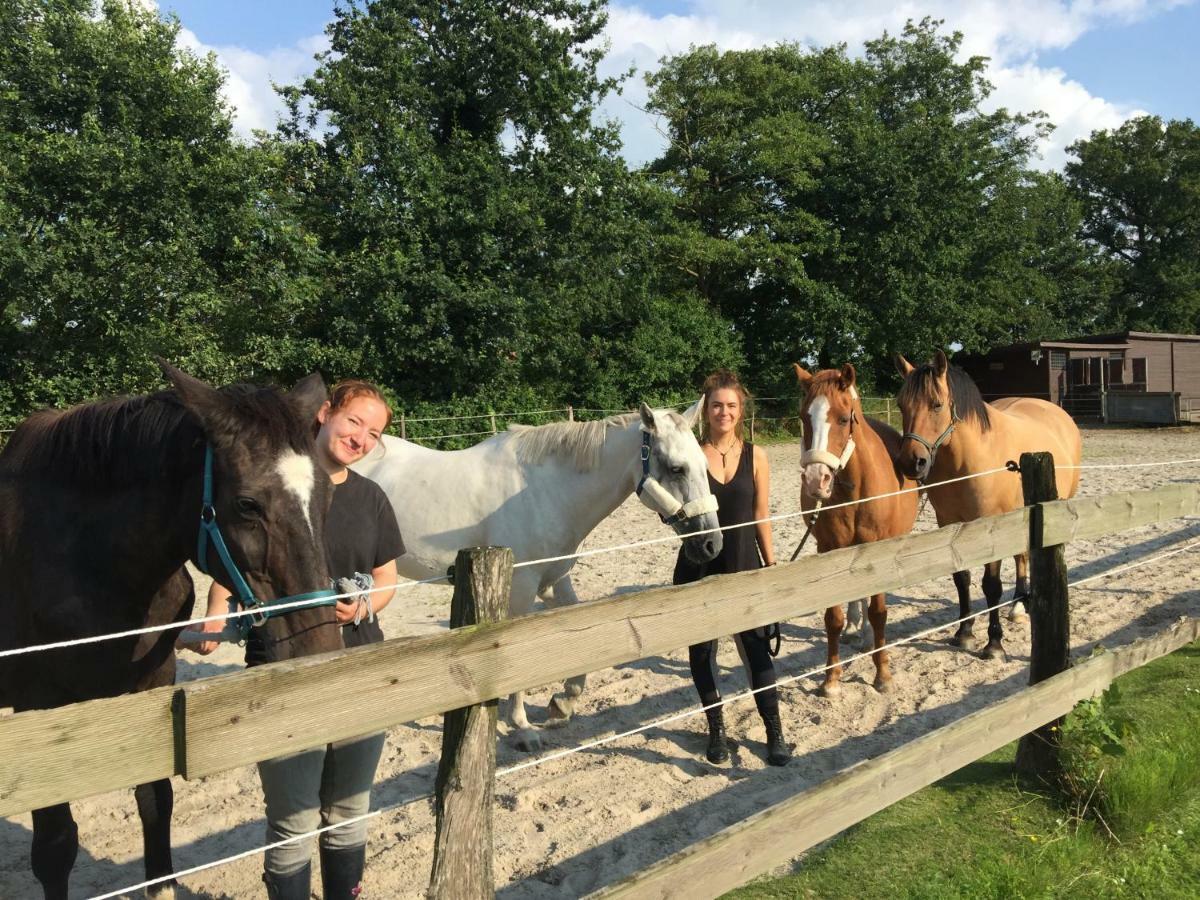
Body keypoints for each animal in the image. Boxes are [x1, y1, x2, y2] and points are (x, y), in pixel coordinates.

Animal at [1, 364, 348, 900]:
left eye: (327, 496)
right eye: (247, 504)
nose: (321, 650)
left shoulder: (154, 683)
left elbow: (155, 799)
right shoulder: (37, 708)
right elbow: (55, 845)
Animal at [350, 400, 715, 748]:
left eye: (704, 464)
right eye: (677, 468)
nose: (712, 543)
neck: (543, 491)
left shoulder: (553, 581)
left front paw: (563, 703)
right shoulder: (522, 589)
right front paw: (523, 729)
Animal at [796, 364, 916, 696]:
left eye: (842, 418)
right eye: (804, 417)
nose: (816, 480)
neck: (854, 488)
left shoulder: (878, 547)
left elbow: (878, 613)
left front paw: (883, 674)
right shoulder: (830, 549)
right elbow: (833, 618)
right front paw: (831, 679)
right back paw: (855, 630)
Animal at [897, 352, 1084, 662]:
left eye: (936, 404)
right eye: (901, 406)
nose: (912, 462)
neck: (968, 460)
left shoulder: (990, 526)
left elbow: (991, 585)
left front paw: (994, 644)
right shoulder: (949, 523)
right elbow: (961, 578)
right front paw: (964, 633)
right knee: (1022, 556)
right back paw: (1019, 605)